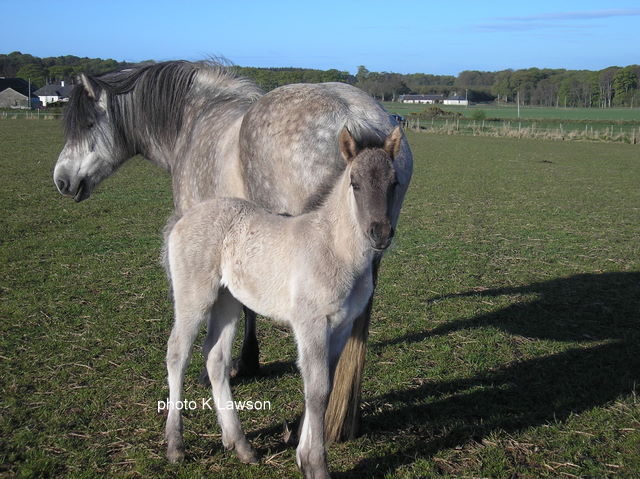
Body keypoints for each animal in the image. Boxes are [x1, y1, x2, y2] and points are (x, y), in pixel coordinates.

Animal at [164, 127, 402, 478]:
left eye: (394, 182)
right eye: (354, 183)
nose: (380, 233)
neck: (334, 248)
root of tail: (184, 219)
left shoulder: (341, 326)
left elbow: (325, 386)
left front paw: (303, 456)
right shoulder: (310, 323)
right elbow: (317, 390)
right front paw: (315, 464)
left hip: (227, 301)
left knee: (215, 358)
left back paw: (240, 445)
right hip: (195, 296)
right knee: (177, 353)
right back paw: (176, 445)